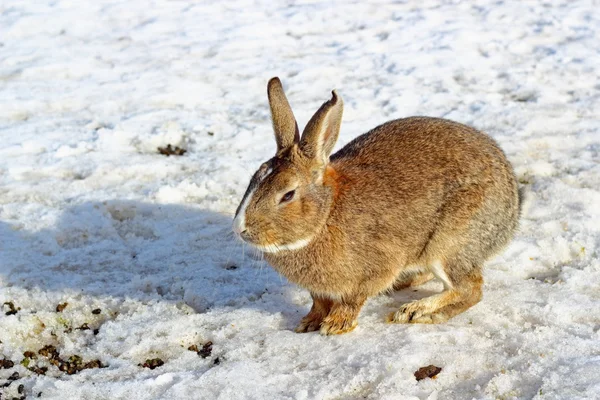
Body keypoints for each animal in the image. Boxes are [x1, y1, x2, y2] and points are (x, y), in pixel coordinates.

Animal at [234, 77, 520, 334]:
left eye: (288, 195)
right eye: (253, 180)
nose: (240, 228)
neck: (326, 215)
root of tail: (512, 211)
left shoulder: (375, 268)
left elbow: (352, 300)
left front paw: (335, 325)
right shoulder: (319, 291)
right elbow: (319, 302)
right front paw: (308, 323)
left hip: (449, 244)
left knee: (470, 289)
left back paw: (419, 312)